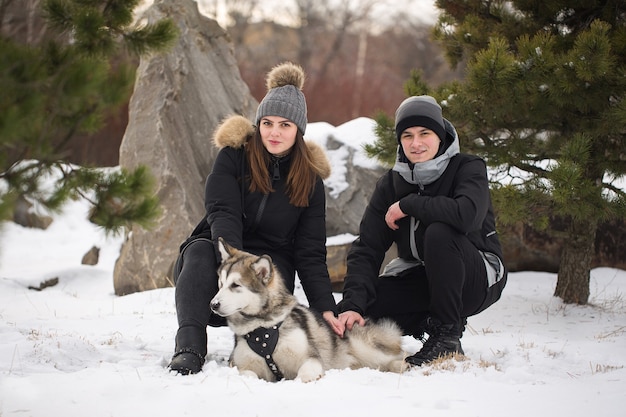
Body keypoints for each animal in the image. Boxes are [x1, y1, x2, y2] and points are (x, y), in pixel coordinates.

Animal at [207, 237, 408, 380]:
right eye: (221, 284)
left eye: (235, 285)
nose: (213, 305)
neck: (262, 328)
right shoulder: (240, 364)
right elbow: (246, 374)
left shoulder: (310, 357)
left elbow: (305, 372)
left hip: (365, 347)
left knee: (396, 356)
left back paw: (406, 365)